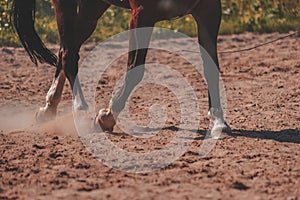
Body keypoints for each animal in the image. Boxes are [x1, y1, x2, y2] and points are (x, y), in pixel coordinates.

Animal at [12, 0, 232, 137]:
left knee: (67, 49)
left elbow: (211, 68)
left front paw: (218, 120)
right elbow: (135, 69)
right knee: (68, 54)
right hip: (66, 4)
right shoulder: (142, 14)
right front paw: (107, 117)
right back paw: (79, 110)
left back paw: (49, 108)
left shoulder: (209, 12)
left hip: (92, 8)